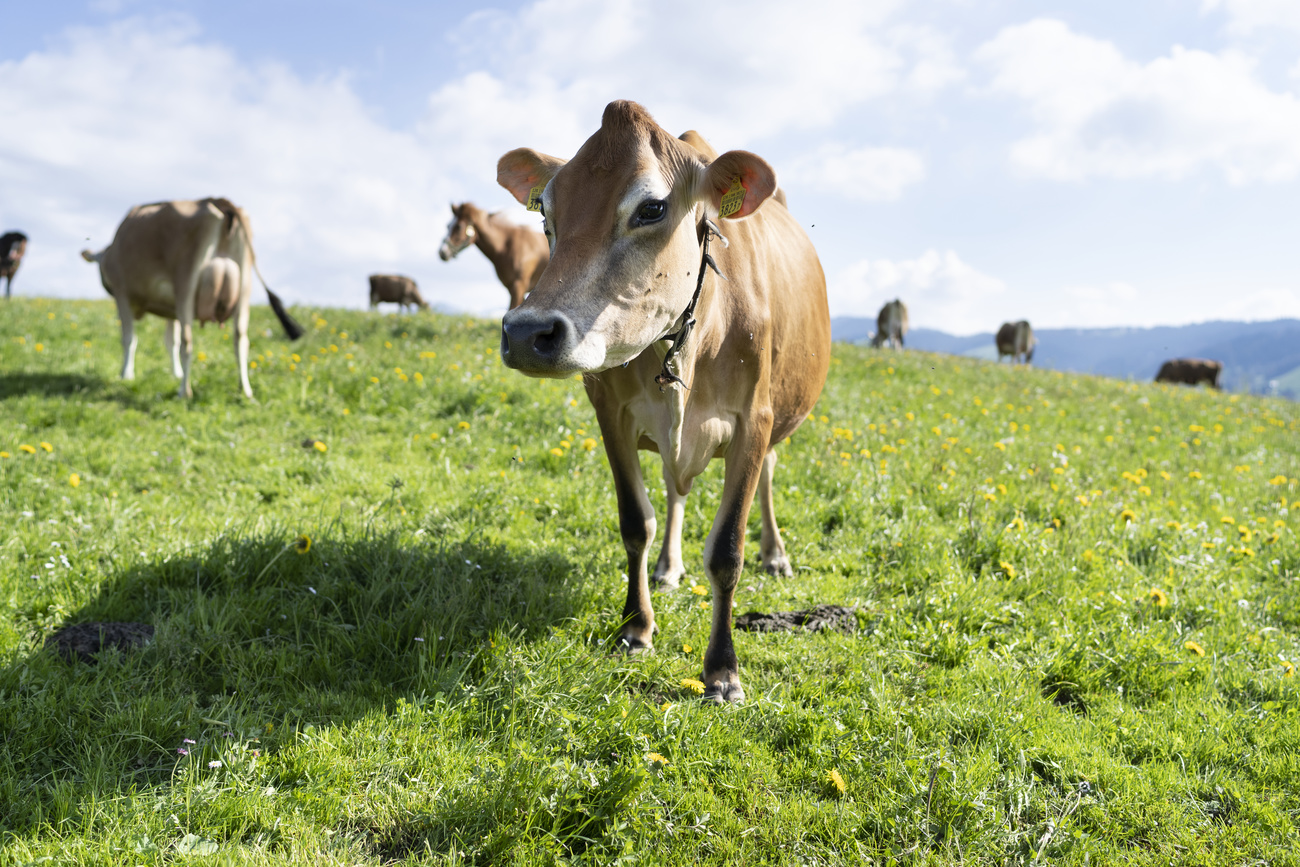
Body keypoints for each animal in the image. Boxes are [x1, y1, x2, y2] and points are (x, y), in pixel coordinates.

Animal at [82, 197, 302, 399]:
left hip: (186, 281)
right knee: (240, 339)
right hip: (244, 285)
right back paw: (245, 391)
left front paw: (126, 375)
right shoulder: (171, 310)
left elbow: (130, 339)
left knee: (187, 342)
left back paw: (184, 392)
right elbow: (170, 341)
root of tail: (220, 202)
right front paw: (176, 373)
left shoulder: (122, 294)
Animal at [497, 100, 830, 703]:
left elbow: (726, 550)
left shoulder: (754, 419)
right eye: (545, 213)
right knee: (676, 489)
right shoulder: (610, 413)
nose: (528, 332)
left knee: (768, 478)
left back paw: (776, 554)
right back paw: (669, 568)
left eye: (652, 208)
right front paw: (636, 626)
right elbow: (637, 522)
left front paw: (722, 670)